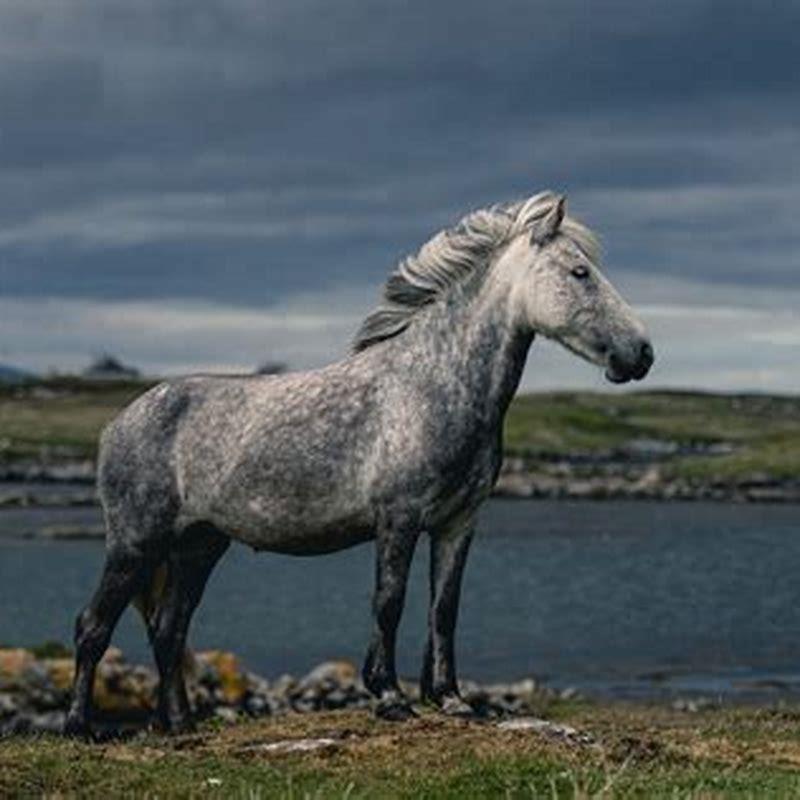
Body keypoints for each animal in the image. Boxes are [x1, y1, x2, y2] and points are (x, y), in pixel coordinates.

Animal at [64, 191, 653, 736]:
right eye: (580, 272)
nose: (641, 354)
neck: (433, 383)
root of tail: (118, 424)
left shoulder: (458, 523)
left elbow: (445, 607)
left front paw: (452, 699)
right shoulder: (399, 519)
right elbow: (389, 601)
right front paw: (390, 696)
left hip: (199, 546)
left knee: (169, 630)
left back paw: (182, 725)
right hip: (136, 542)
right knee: (94, 626)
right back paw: (79, 728)